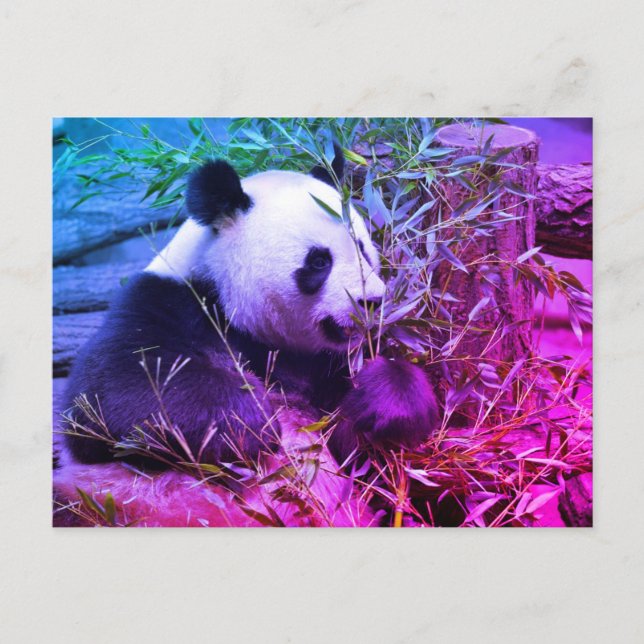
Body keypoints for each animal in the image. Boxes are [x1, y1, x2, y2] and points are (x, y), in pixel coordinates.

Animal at [54, 147, 440, 527]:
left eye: (362, 247)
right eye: (318, 261)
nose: (371, 300)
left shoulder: (326, 369)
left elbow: (355, 448)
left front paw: (387, 399)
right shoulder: (167, 303)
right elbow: (110, 392)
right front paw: (251, 421)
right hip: (105, 500)